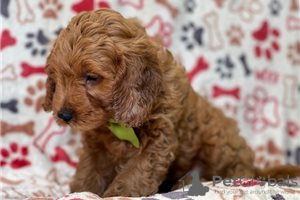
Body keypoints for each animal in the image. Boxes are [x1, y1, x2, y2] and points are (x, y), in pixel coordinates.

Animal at [42, 9, 300, 197]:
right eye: (57, 78)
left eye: (91, 78)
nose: (63, 115)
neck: (115, 121)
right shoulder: (97, 146)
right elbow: (89, 172)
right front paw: (80, 191)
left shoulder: (159, 139)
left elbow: (134, 175)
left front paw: (116, 194)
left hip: (218, 145)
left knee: (236, 170)